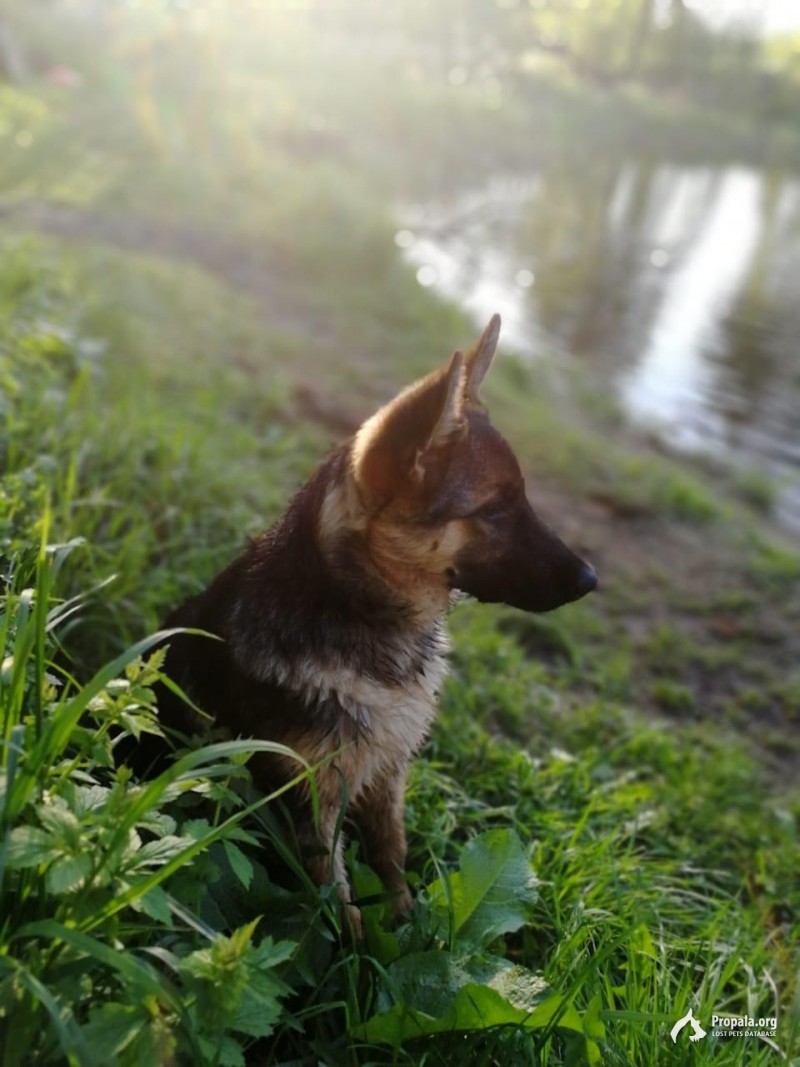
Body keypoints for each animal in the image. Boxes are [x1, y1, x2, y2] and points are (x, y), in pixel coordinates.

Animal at [149, 313, 597, 934]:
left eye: (524, 500)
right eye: (493, 511)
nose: (592, 579)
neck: (358, 609)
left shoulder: (388, 773)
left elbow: (391, 855)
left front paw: (407, 921)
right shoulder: (311, 799)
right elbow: (337, 900)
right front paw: (361, 953)